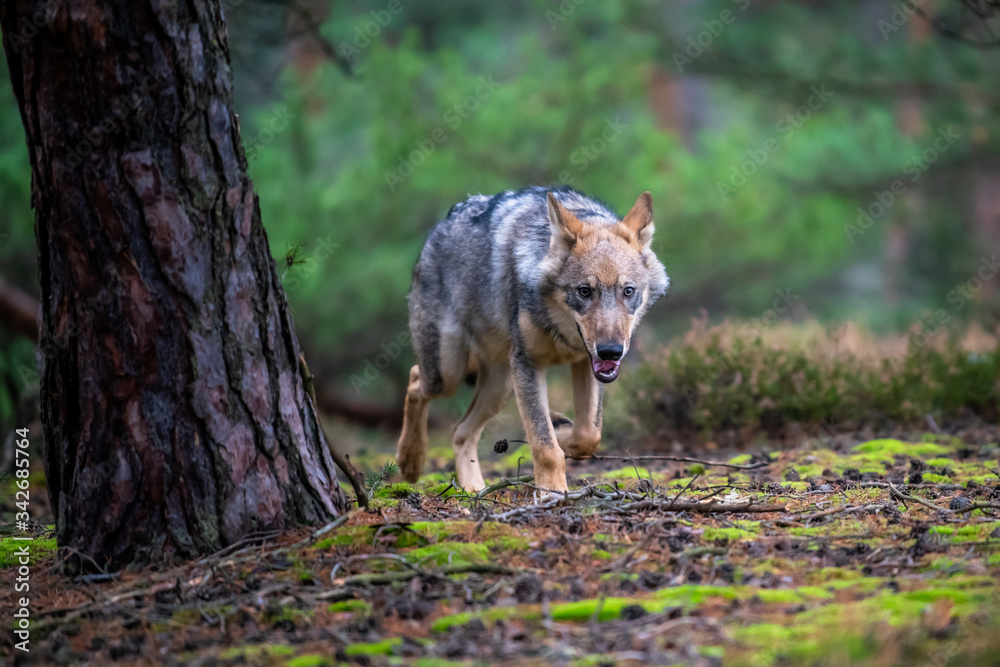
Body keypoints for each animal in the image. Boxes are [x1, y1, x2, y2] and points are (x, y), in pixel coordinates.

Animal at [396, 186, 669, 493]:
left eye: (628, 291)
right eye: (585, 291)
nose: (611, 351)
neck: (561, 334)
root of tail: (440, 227)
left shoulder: (585, 363)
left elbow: (587, 435)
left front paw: (561, 431)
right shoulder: (529, 364)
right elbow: (545, 444)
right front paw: (553, 491)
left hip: (499, 388)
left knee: (459, 431)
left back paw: (473, 489)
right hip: (447, 376)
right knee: (415, 380)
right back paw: (410, 460)